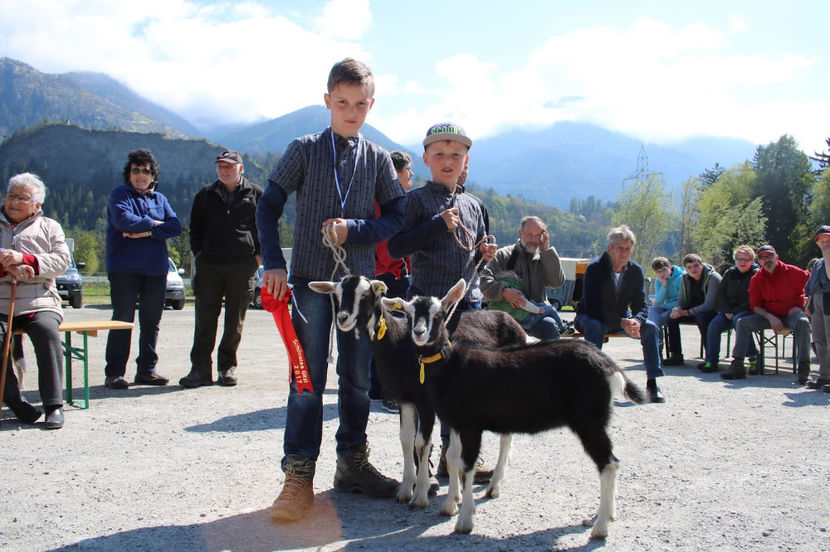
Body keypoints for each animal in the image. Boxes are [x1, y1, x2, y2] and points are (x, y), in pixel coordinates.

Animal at [308, 276, 528, 508]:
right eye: (338, 295)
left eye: (366, 294)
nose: (343, 318)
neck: (399, 344)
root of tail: (512, 321)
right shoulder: (405, 399)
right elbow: (406, 439)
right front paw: (406, 490)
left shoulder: (426, 403)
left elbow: (422, 443)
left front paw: (420, 495)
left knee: (506, 436)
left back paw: (494, 486)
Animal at [386, 278, 648, 536]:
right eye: (409, 314)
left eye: (439, 314)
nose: (419, 333)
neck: (452, 365)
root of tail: (611, 368)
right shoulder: (456, 422)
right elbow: (452, 458)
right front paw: (450, 505)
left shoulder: (471, 425)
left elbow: (466, 465)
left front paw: (464, 521)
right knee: (612, 462)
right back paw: (606, 516)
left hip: (589, 420)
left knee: (608, 462)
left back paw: (600, 527)